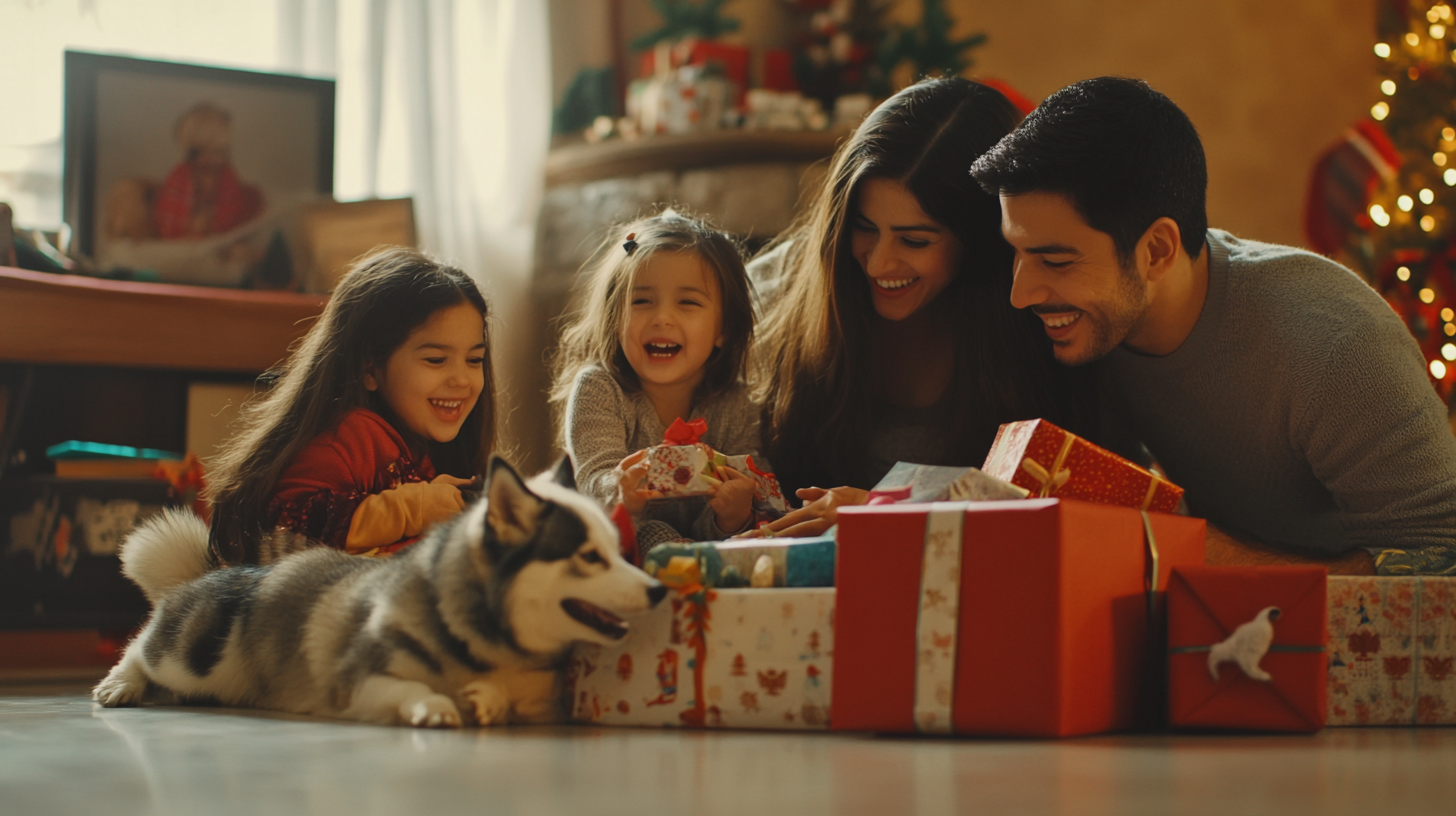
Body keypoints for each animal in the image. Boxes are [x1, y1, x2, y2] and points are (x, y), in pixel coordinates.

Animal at [91, 454, 661, 728]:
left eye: (618, 550)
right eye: (589, 557)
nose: (658, 590)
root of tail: (212, 572)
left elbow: (500, 696)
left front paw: (486, 699)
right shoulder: (359, 680)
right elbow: (414, 689)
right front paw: (436, 705)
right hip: (196, 655)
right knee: (144, 646)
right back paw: (120, 684)